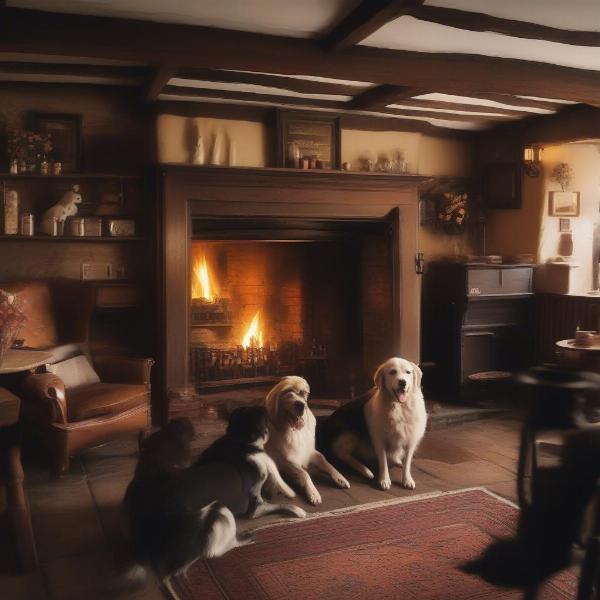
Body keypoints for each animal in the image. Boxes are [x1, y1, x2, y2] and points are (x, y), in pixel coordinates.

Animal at [318, 358, 426, 490]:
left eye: (408, 372)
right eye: (392, 372)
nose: (402, 382)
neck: (399, 408)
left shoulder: (411, 438)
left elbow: (407, 462)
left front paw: (407, 479)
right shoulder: (379, 439)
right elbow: (383, 461)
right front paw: (384, 479)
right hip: (351, 433)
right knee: (342, 454)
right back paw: (365, 470)